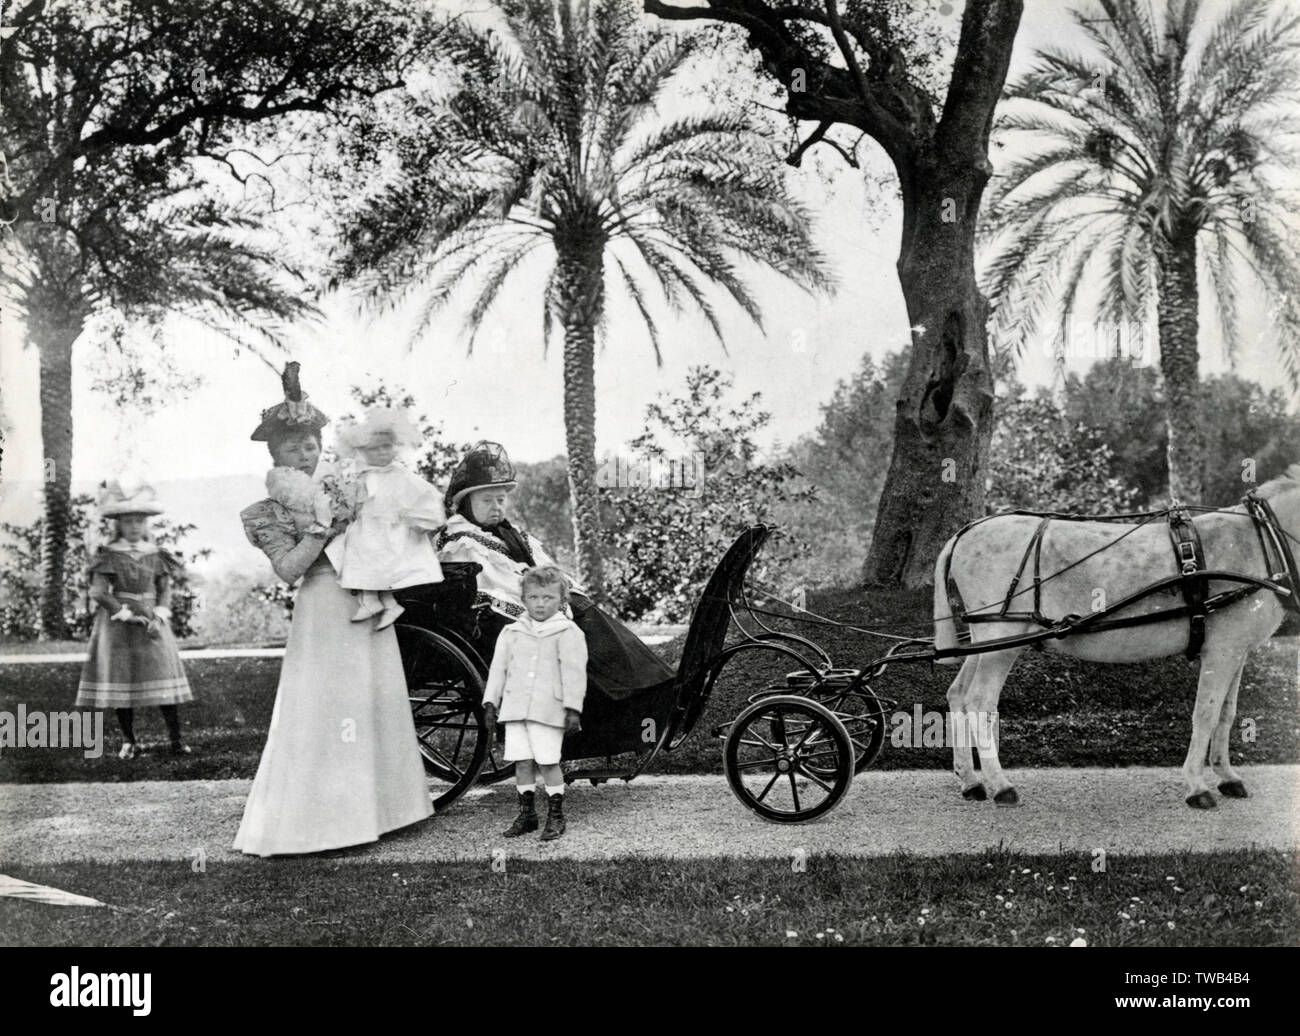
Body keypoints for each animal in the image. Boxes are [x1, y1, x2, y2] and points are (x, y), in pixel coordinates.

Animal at [930, 462, 1294, 805]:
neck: (1258, 541)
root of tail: (966, 531)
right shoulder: (1221, 651)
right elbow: (1206, 713)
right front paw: (1196, 785)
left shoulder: (1236, 651)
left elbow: (1226, 713)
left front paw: (1226, 775)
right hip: (1000, 640)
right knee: (979, 702)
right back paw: (1000, 784)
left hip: (986, 642)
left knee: (958, 694)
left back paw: (971, 780)